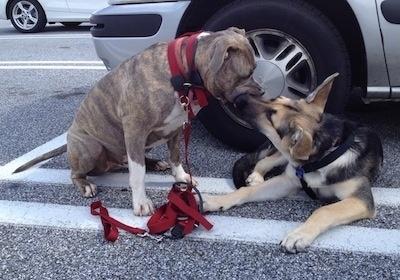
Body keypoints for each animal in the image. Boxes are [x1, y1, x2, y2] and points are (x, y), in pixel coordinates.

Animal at [202, 73, 382, 253]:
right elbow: (245, 191)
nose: (238, 97)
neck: (325, 156)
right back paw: (256, 177)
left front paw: (298, 235)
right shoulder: (287, 181)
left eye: (270, 116)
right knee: (265, 161)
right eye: (274, 99)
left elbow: (324, 210)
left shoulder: (360, 200)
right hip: (282, 155)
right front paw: (216, 201)